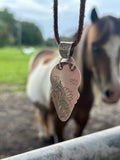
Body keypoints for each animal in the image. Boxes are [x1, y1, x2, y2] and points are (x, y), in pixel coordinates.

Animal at [26, 8, 120, 142]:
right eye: (94, 47)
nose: (114, 92)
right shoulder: (59, 123)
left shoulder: (83, 120)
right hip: (39, 104)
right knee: (41, 114)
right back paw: (43, 135)